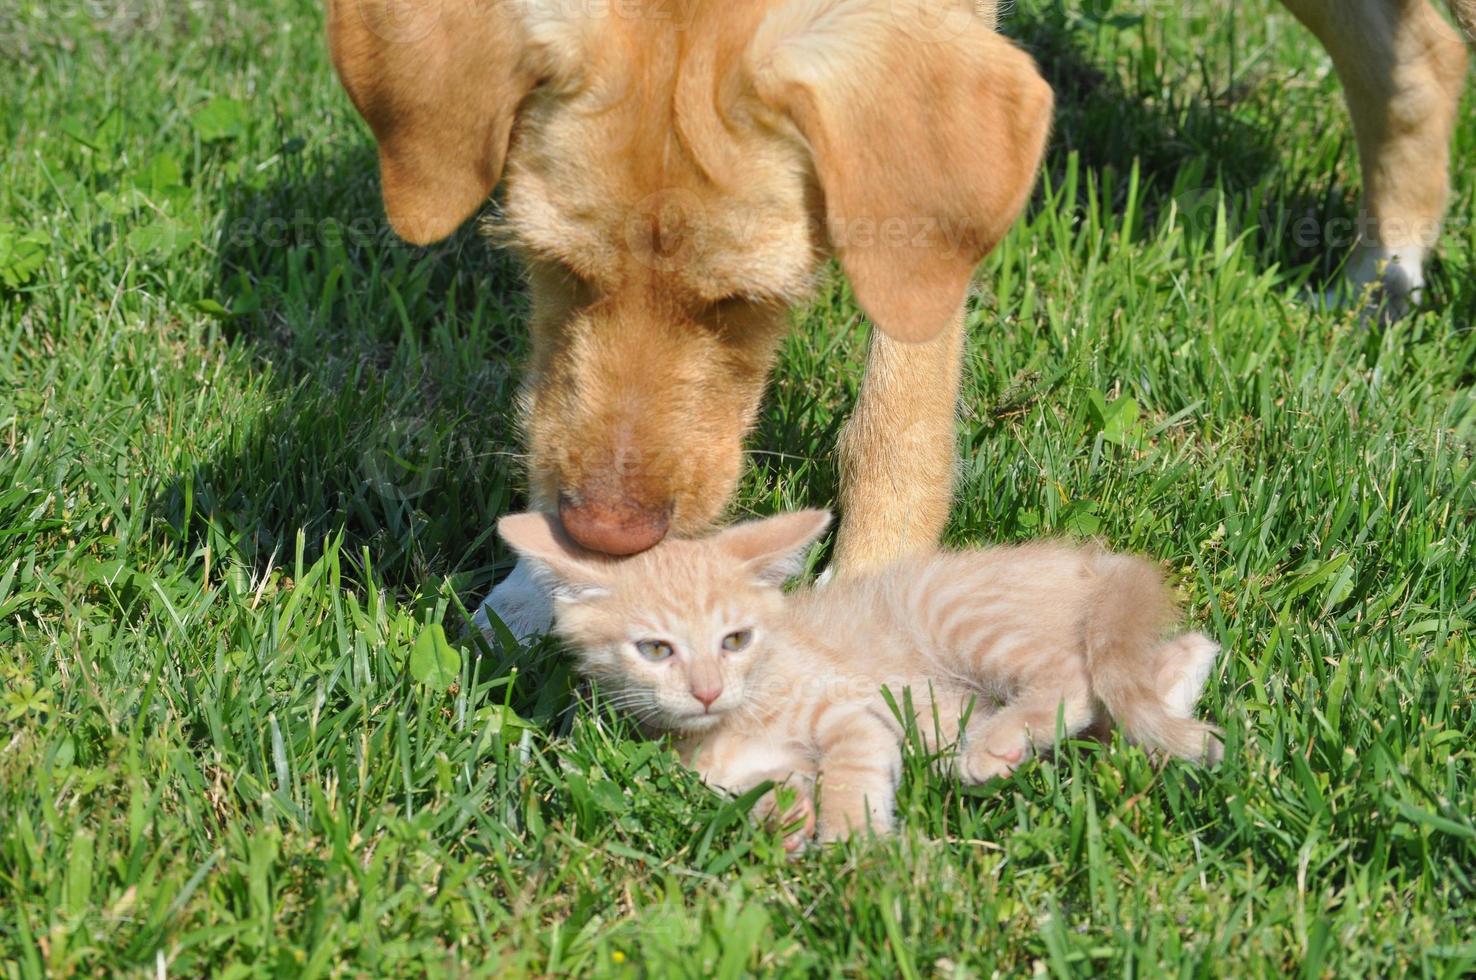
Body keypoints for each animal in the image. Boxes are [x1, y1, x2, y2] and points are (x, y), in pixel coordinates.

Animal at [329, 0, 1470, 634]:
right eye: (549, 265)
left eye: (747, 301)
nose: (609, 537)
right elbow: (550, 402)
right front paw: (537, 584)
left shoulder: (916, 211)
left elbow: (895, 419)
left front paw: (870, 601)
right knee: (1417, 50)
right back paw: (1383, 274)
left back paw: (1393, 268)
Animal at [498, 507, 1222, 844]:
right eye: (655, 649)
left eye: (735, 640)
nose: (707, 690)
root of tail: (1091, 562)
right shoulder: (717, 771)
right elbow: (756, 787)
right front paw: (787, 817)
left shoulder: (854, 708)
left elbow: (852, 762)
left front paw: (851, 841)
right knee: (1157, 669)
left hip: (956, 616)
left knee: (1076, 678)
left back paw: (994, 747)